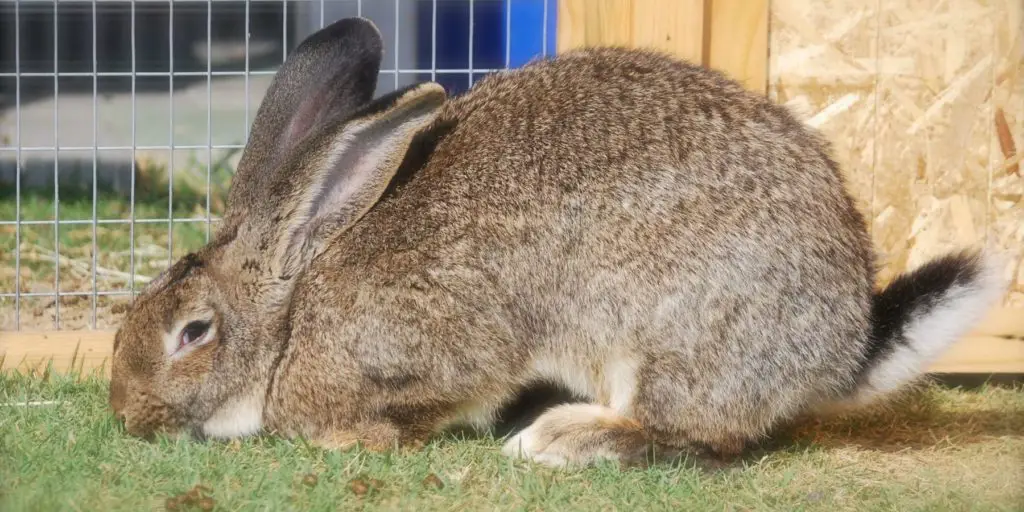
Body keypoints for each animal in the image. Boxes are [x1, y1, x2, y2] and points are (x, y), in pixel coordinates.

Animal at [108, 17, 1003, 468]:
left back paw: (558, 439)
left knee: (692, 435)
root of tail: (842, 347)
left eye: (193, 332)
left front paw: (358, 436)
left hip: (669, 339)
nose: (126, 415)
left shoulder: (441, 348)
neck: (293, 315)